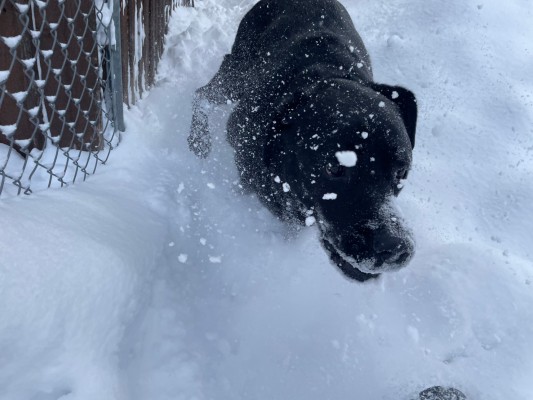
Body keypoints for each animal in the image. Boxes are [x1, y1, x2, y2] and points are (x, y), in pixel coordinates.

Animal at [187, 0, 416, 282]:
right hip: (235, 76)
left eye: (402, 172)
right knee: (201, 94)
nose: (394, 247)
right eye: (333, 167)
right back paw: (198, 139)